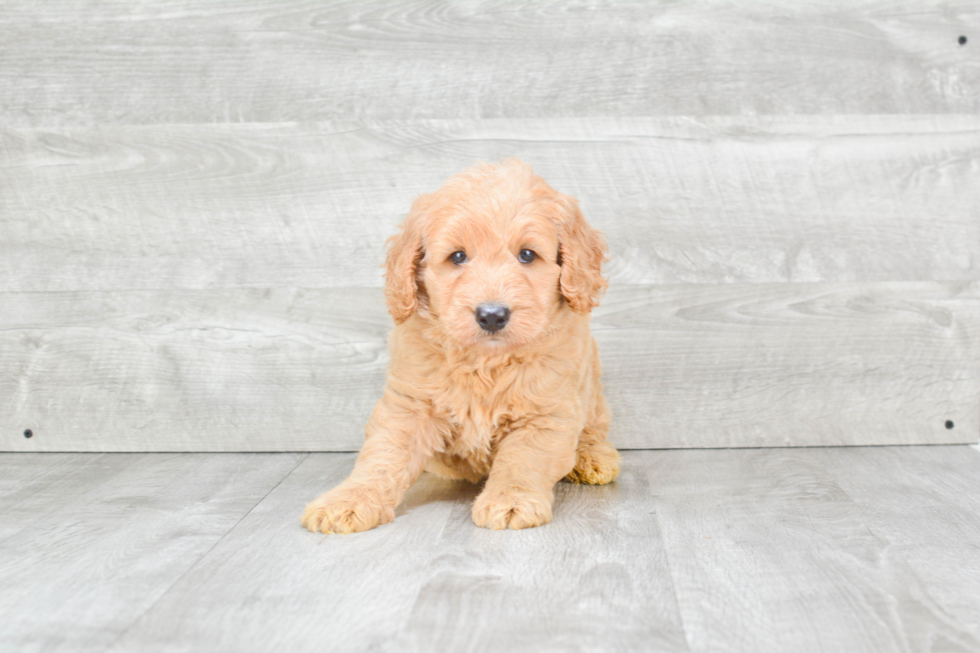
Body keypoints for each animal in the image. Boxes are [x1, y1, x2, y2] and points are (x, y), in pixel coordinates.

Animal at [300, 160, 620, 532]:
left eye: (527, 255)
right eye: (457, 257)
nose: (492, 315)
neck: (485, 361)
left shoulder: (545, 415)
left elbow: (523, 460)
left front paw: (510, 501)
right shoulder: (409, 406)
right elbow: (383, 457)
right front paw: (347, 501)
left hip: (592, 391)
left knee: (594, 429)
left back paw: (593, 458)